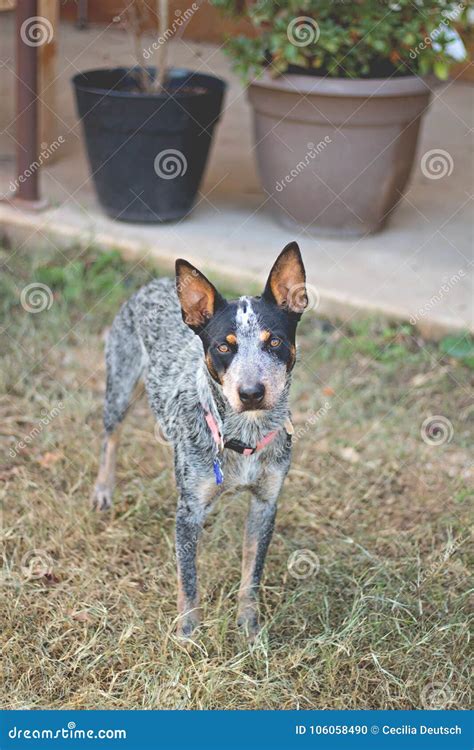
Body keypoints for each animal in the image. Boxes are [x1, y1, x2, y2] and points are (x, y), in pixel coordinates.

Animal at [92, 244, 308, 644]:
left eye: (274, 341)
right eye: (224, 346)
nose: (251, 393)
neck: (245, 436)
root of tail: (156, 283)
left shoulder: (265, 504)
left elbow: (251, 577)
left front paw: (249, 629)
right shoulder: (189, 513)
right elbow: (188, 580)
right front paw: (188, 633)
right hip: (120, 388)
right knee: (110, 436)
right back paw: (103, 490)